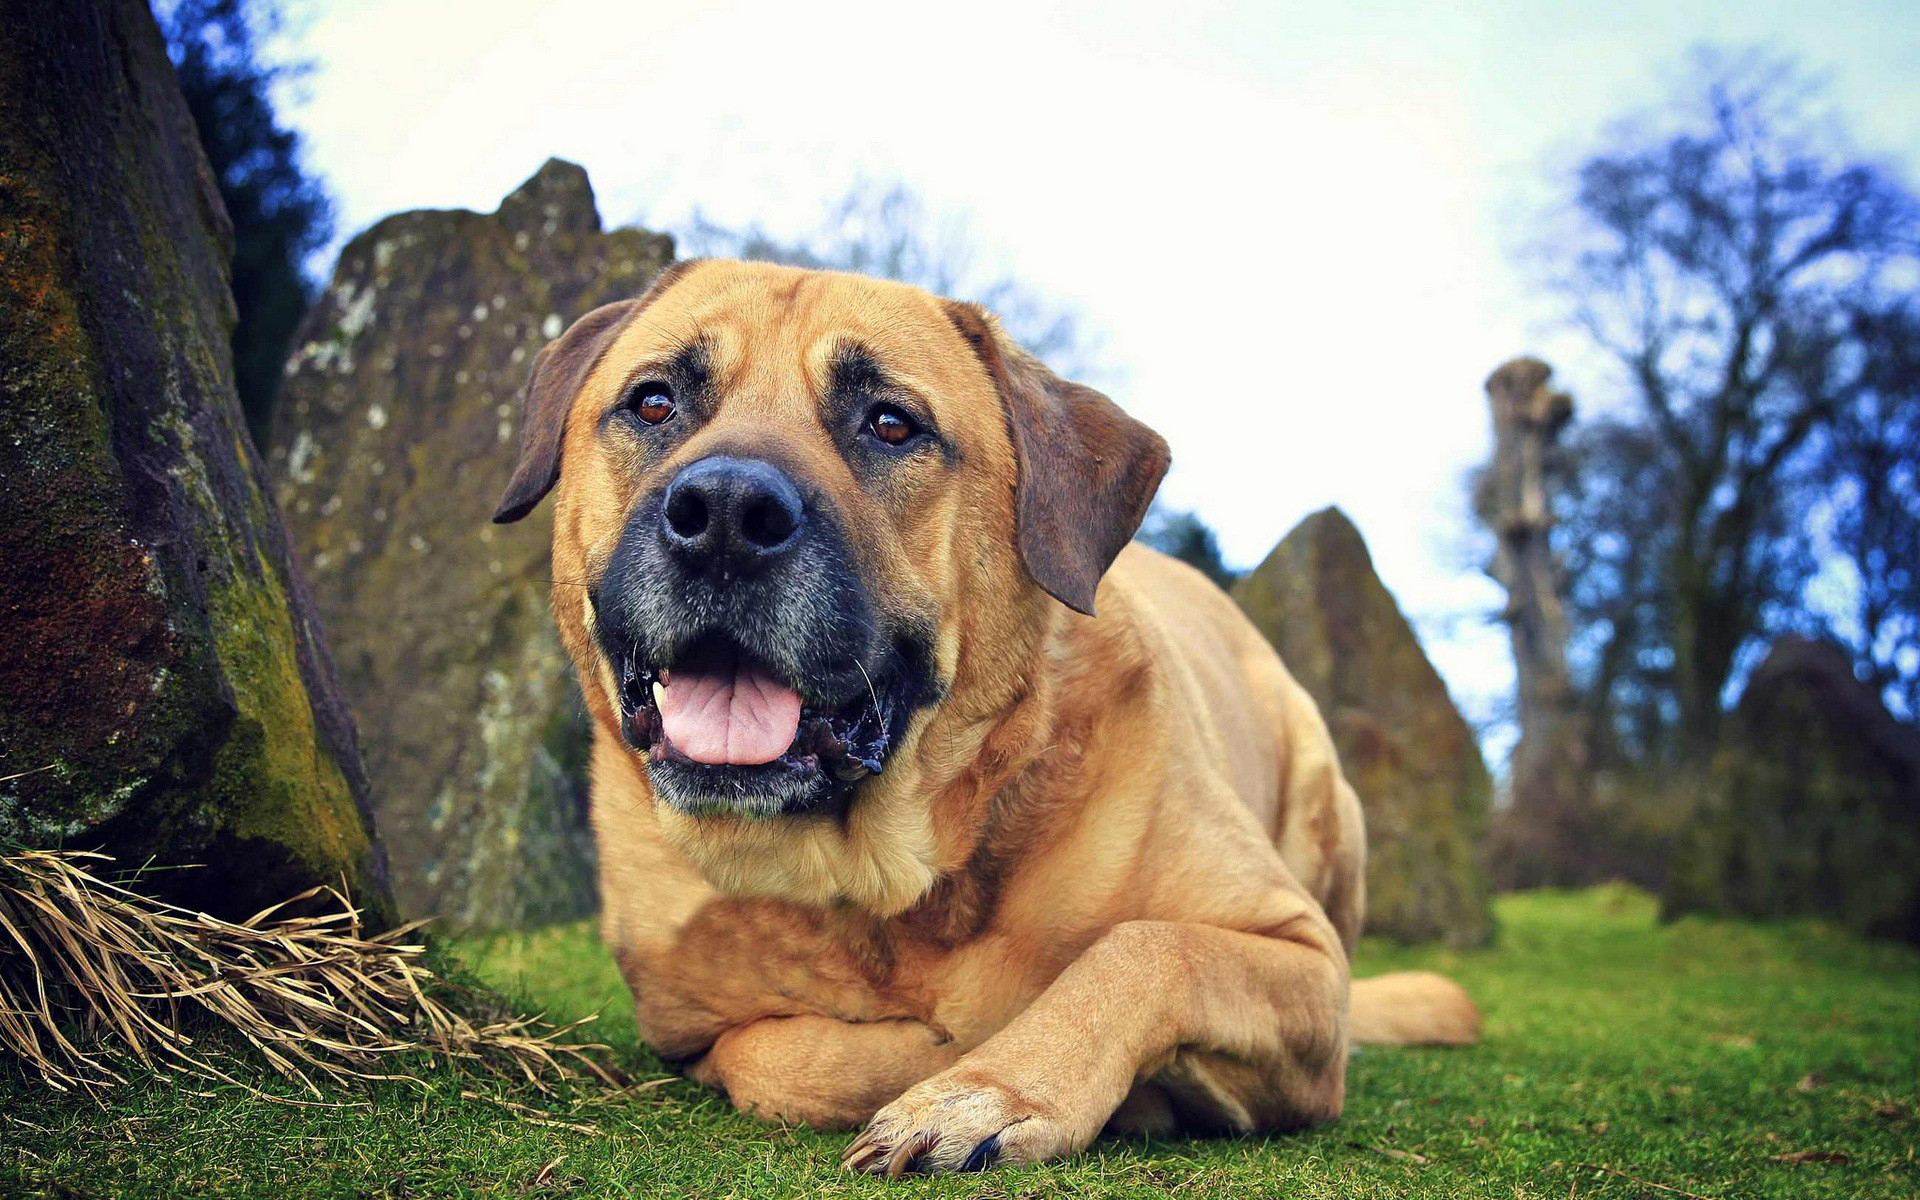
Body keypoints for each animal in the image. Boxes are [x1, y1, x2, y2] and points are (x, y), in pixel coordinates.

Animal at [491, 259, 1466, 1167]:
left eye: (891, 423)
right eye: (654, 402)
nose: (725, 514)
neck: (883, 878)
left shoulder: (1306, 963)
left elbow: (1149, 949)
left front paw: (992, 1091)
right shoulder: (684, 1021)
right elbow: (782, 1057)